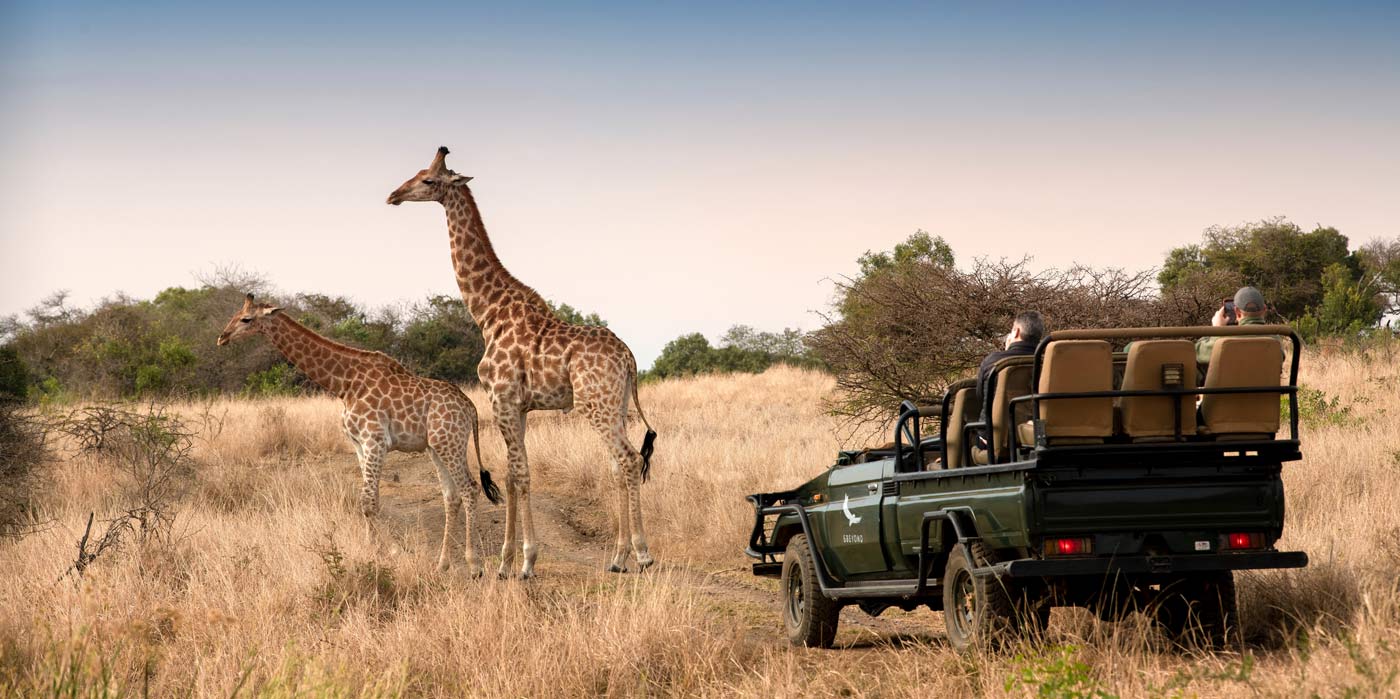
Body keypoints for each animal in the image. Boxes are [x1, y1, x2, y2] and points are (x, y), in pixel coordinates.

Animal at [216, 294, 503, 575]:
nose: (222, 337)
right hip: (435, 446)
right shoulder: (359, 444)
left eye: (246, 318)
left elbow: (367, 501)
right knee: (451, 496)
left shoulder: (375, 439)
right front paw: (373, 552)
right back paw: (442, 564)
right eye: (235, 314)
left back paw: (474, 565)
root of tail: (471, 408)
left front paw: (391, 551)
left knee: (469, 489)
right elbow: (369, 500)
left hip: (450, 441)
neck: (345, 383)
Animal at [387, 147, 657, 578]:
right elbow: (512, 475)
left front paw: (526, 561)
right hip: (614, 405)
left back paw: (642, 553)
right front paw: (505, 561)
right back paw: (617, 558)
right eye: (415, 173)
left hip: (595, 405)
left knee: (629, 460)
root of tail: (629, 358)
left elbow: (520, 473)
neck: (487, 313)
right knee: (619, 466)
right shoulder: (519, 406)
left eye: (428, 180)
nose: (394, 195)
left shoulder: (502, 399)